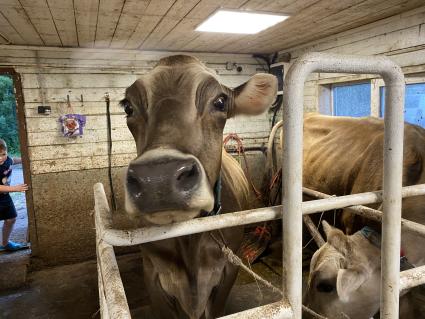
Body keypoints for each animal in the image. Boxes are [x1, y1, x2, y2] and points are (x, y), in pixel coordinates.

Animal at [121, 55, 276, 319]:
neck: (190, 244)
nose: (158, 178)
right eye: (128, 107)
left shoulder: (226, 271)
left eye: (220, 101)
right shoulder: (154, 275)